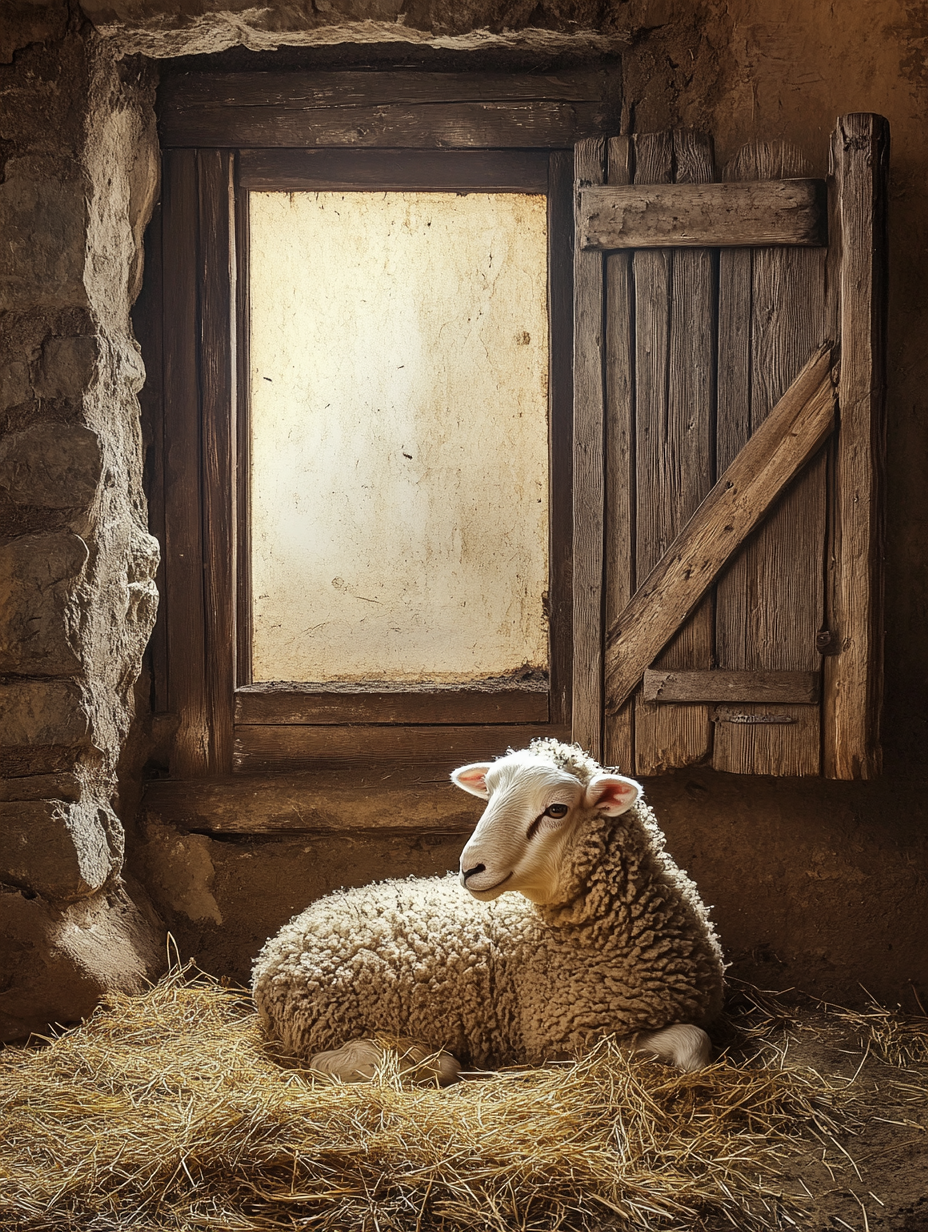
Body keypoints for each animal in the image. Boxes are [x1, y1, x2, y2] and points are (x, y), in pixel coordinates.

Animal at [251, 739, 724, 1079]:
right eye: (489, 795)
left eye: (557, 809)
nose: (469, 867)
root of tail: (274, 951)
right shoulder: (568, 1038)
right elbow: (693, 1043)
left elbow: (697, 1042)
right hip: (326, 1025)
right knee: (330, 1063)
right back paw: (422, 1061)